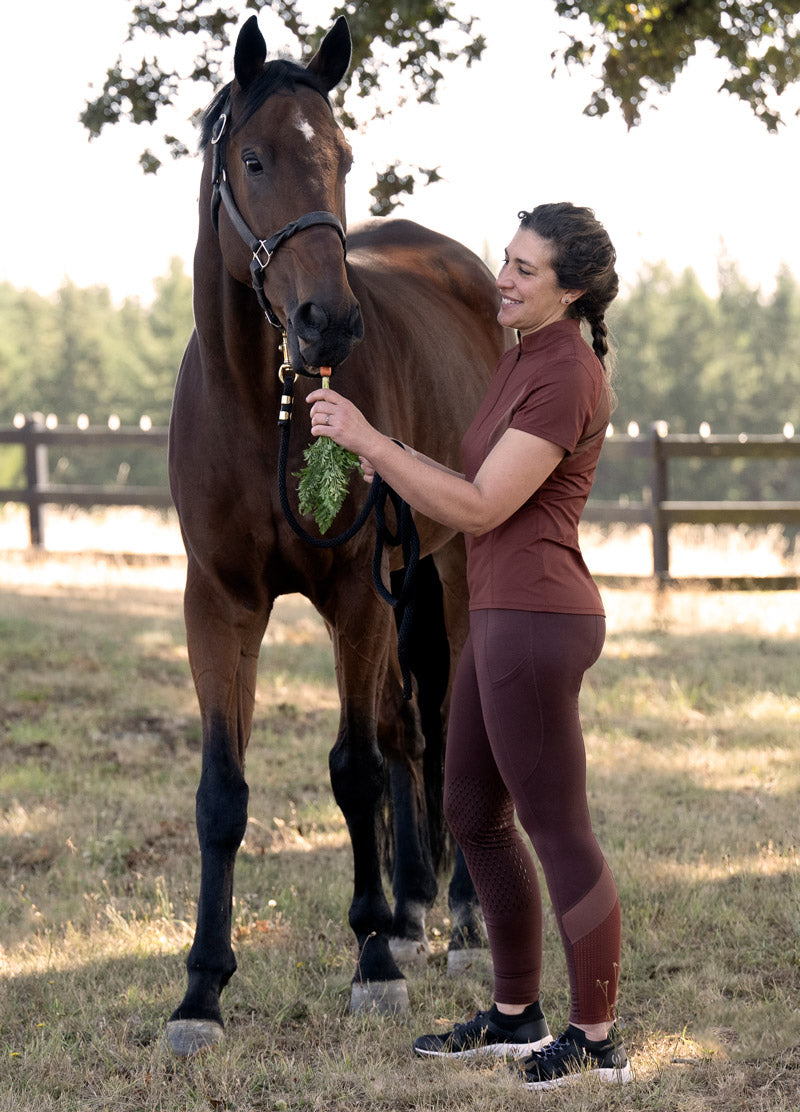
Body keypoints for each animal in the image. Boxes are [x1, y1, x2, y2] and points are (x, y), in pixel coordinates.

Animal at [166, 14, 505, 1057]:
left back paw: (463, 921)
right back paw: (411, 907)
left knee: (442, 725)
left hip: (449, 566)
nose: (328, 320)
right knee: (405, 729)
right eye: (254, 159)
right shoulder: (220, 605)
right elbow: (223, 795)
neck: (259, 406)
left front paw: (373, 966)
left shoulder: (355, 592)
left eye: (344, 158)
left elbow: (353, 770)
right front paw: (200, 992)